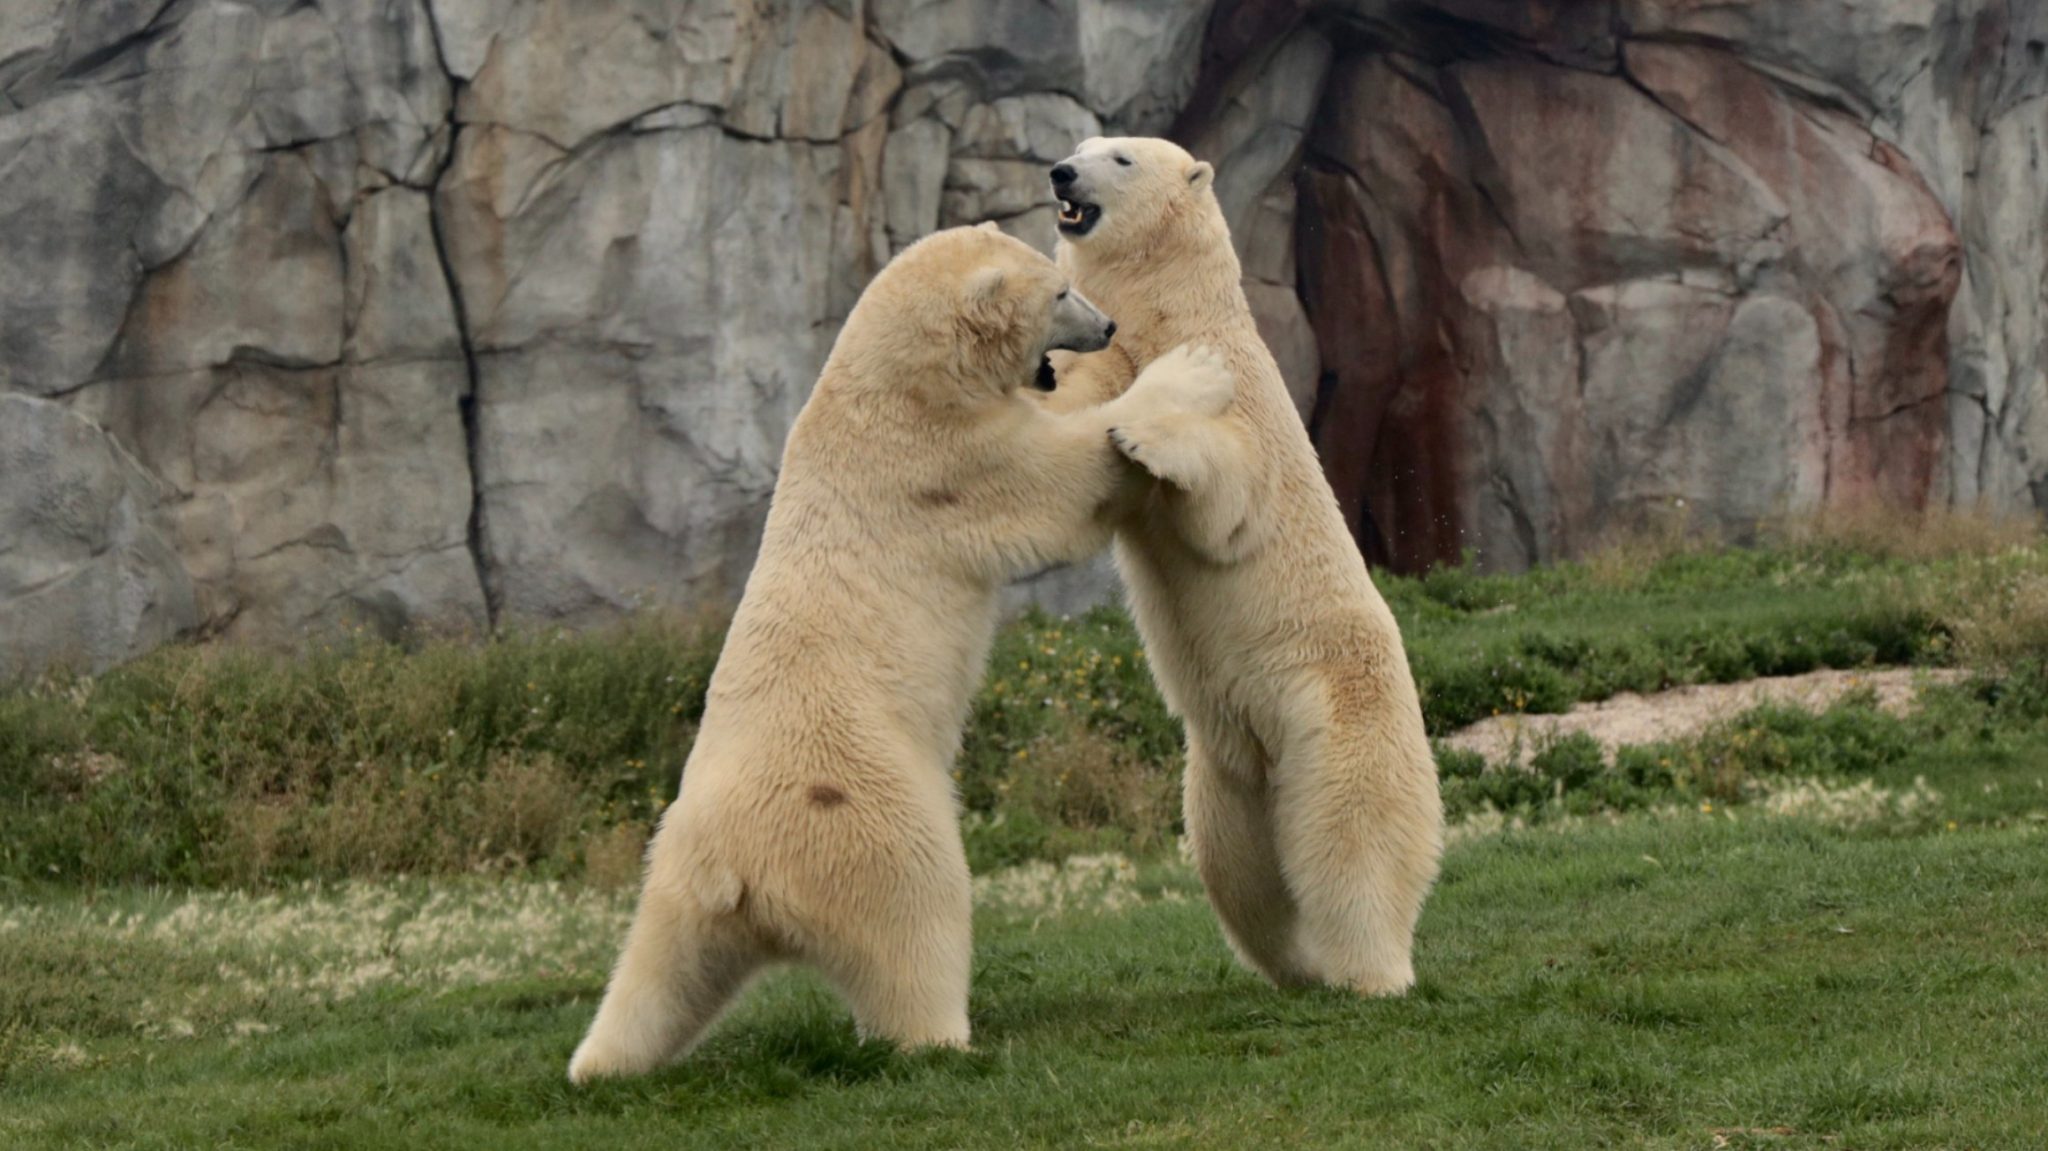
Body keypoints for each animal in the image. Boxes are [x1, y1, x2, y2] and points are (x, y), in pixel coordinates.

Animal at [566, 223, 1236, 1081]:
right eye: (1059, 292)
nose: (1110, 325)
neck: (887, 385)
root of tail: (743, 873)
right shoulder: (944, 463)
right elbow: (1063, 475)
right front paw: (1189, 370)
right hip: (869, 818)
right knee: (921, 914)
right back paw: (946, 1033)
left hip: (674, 875)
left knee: (659, 975)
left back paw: (599, 1060)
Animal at [1042, 136, 1444, 996]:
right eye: (1082, 147)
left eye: (1119, 158)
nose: (1061, 170)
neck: (1171, 314)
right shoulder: (1116, 352)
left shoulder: (1240, 400)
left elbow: (1224, 498)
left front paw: (1144, 434)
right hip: (1224, 761)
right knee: (1239, 863)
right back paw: (1296, 963)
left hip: (1338, 709)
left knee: (1354, 834)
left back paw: (1373, 969)